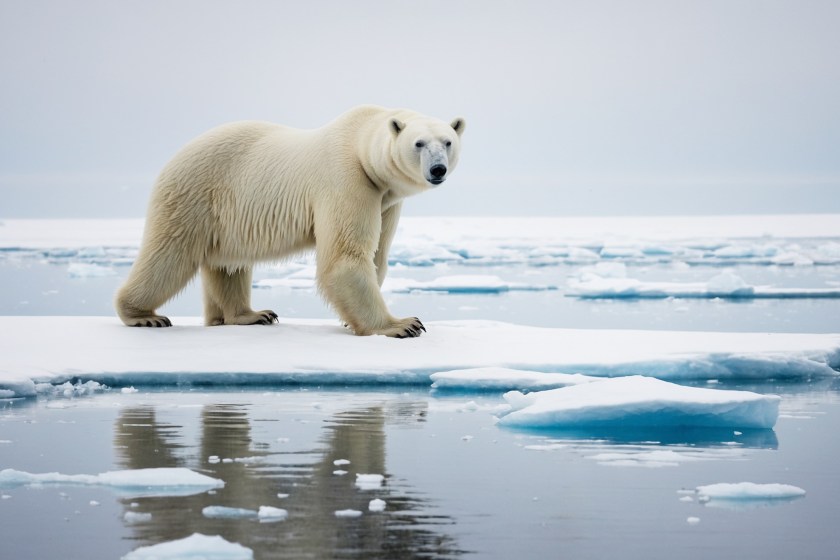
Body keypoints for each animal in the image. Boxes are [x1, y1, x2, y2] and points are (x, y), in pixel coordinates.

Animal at [115, 105, 465, 338]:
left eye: (448, 142)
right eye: (419, 143)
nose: (437, 169)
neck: (359, 143)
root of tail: (173, 159)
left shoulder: (386, 201)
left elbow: (377, 254)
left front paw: (349, 319)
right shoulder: (347, 180)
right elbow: (345, 257)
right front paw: (403, 324)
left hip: (224, 217)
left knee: (228, 265)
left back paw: (249, 315)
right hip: (195, 195)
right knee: (170, 256)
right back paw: (143, 315)